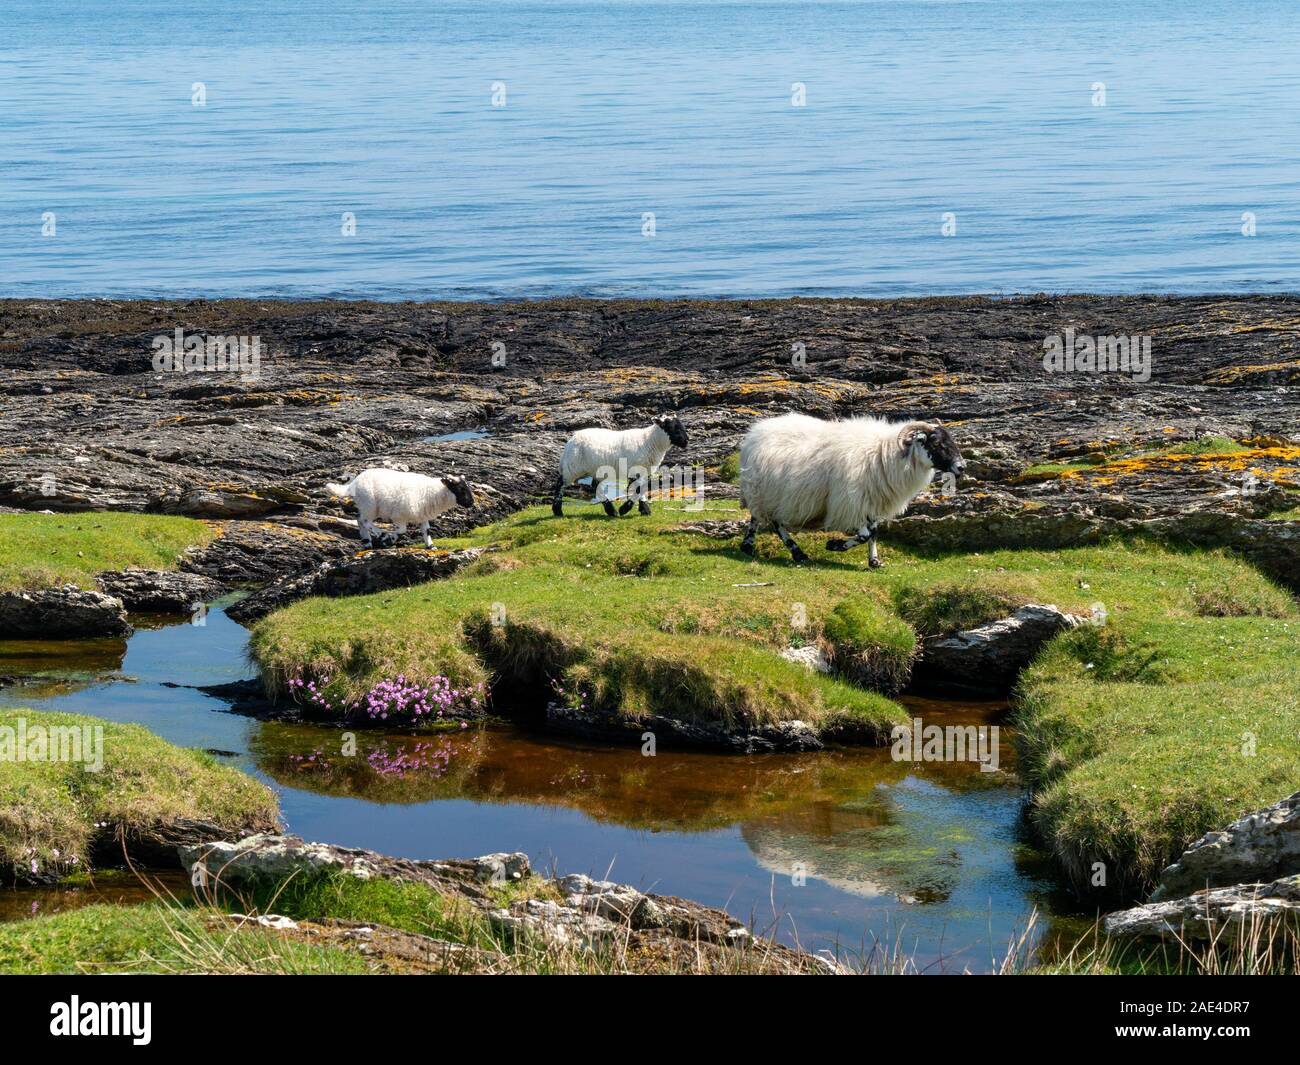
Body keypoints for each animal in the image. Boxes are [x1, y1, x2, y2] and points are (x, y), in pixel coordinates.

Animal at [325, 468, 478, 548]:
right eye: (460, 489)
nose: (471, 503)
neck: (433, 492)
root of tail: (354, 483)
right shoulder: (399, 516)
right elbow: (402, 530)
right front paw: (389, 539)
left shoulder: (422, 516)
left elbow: (426, 531)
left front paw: (430, 546)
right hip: (369, 505)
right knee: (365, 521)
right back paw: (381, 534)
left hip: (368, 507)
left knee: (359, 519)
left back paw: (367, 542)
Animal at [551, 413, 691, 517]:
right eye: (671, 426)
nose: (686, 441)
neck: (650, 441)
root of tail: (571, 440)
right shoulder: (635, 470)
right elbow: (637, 489)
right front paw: (625, 509)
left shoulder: (645, 471)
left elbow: (642, 488)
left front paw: (644, 510)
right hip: (573, 467)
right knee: (561, 484)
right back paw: (558, 511)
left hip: (593, 469)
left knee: (596, 486)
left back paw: (611, 511)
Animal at [743, 413, 967, 569]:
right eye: (936, 443)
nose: (961, 467)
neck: (884, 454)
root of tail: (755, 433)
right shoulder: (852, 500)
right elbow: (865, 535)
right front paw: (834, 545)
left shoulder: (872, 499)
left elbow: (874, 532)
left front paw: (874, 562)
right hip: (763, 491)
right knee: (766, 519)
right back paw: (774, 549)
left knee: (768, 519)